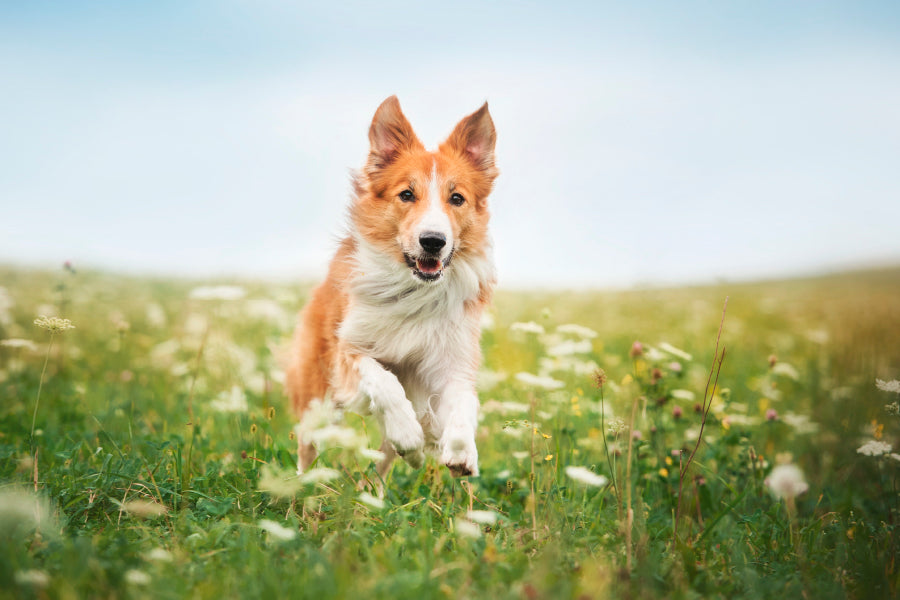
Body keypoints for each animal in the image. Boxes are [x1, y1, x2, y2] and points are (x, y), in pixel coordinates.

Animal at [286, 94, 500, 478]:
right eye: (407, 194)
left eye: (457, 198)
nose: (433, 241)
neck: (415, 291)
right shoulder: (349, 350)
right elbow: (384, 381)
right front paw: (408, 432)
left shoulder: (452, 361)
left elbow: (464, 402)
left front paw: (462, 452)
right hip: (317, 397)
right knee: (308, 448)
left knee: (381, 467)